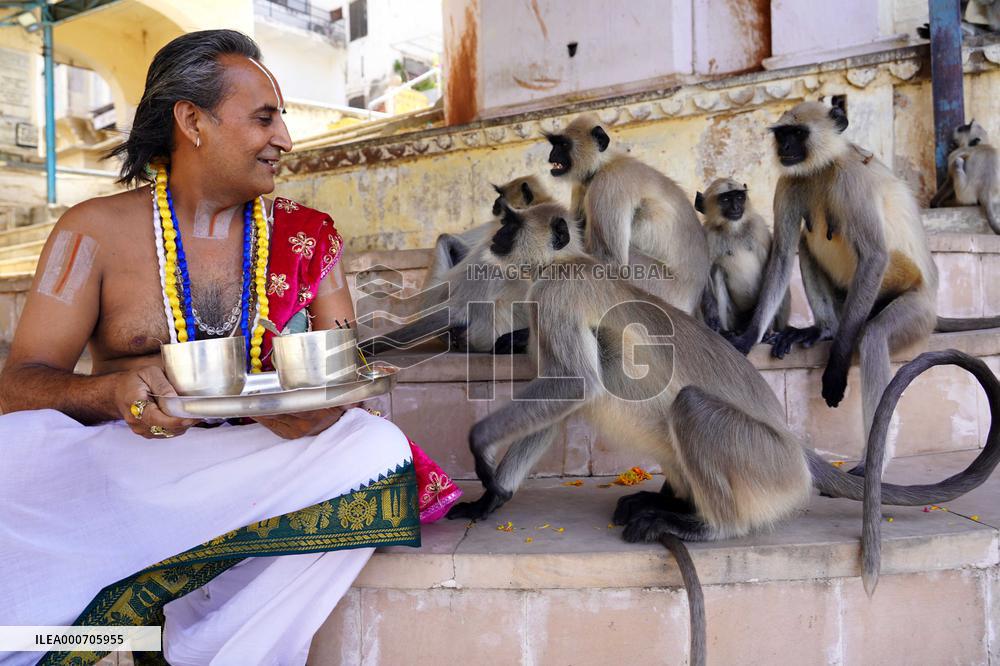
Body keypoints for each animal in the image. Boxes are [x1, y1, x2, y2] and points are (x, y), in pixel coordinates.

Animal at [444, 201, 1000, 664]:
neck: (565, 263)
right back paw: (668, 501)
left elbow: (573, 386)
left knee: (690, 409)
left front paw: (478, 447)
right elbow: (561, 405)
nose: (495, 237)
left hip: (763, 460)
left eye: (511, 226)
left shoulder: (557, 295)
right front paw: (492, 498)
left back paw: (704, 526)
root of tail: (796, 449)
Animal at [545, 113, 710, 315]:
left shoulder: (609, 184)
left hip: (664, 289)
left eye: (563, 145)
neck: (603, 165)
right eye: (554, 144)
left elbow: (612, 264)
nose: (551, 156)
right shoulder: (582, 186)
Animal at [694, 178, 790, 338]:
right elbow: (705, 276)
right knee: (717, 271)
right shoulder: (708, 235)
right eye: (726, 199)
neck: (734, 229)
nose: (736, 208)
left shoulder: (759, 228)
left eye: (739, 197)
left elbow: (772, 270)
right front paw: (713, 321)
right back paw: (728, 331)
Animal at [728, 101, 943, 476]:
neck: (822, 168)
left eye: (798, 134)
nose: (785, 148)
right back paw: (825, 330)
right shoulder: (789, 180)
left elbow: (874, 256)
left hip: (916, 310)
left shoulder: (852, 179)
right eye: (783, 135)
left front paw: (837, 368)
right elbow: (782, 253)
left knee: (874, 336)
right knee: (804, 242)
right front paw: (750, 336)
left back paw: (874, 462)